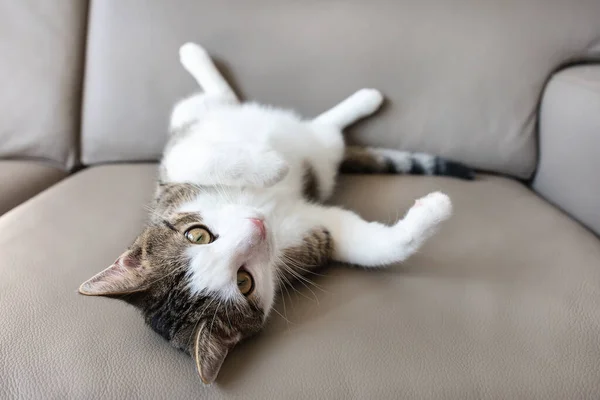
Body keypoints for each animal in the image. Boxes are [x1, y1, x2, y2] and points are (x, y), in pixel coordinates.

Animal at [78, 42, 474, 382]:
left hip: (198, 118)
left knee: (231, 104)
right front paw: (437, 208)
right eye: (244, 282)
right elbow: (374, 247)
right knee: (323, 133)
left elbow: (206, 157)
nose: (257, 225)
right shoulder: (315, 238)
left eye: (197, 234)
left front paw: (274, 166)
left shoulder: (175, 177)